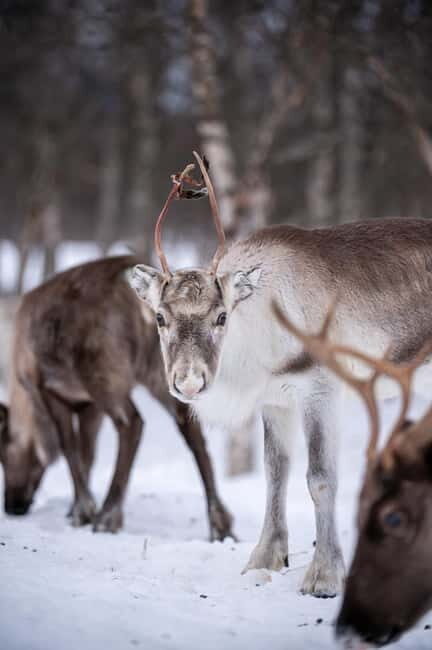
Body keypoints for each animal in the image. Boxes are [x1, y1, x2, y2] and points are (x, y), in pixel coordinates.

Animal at [0, 252, 234, 540]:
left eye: (3, 454)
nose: (12, 506)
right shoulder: (88, 405)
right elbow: (87, 453)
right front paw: (75, 507)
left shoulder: (50, 390)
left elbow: (68, 447)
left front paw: (83, 511)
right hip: (163, 369)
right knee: (189, 426)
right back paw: (220, 525)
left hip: (104, 373)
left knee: (132, 422)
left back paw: (107, 516)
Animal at [128, 150, 432, 598]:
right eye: (160, 317)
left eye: (222, 316)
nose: (189, 382)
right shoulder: (275, 400)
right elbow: (276, 471)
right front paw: (264, 559)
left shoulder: (321, 389)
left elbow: (320, 478)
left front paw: (325, 576)